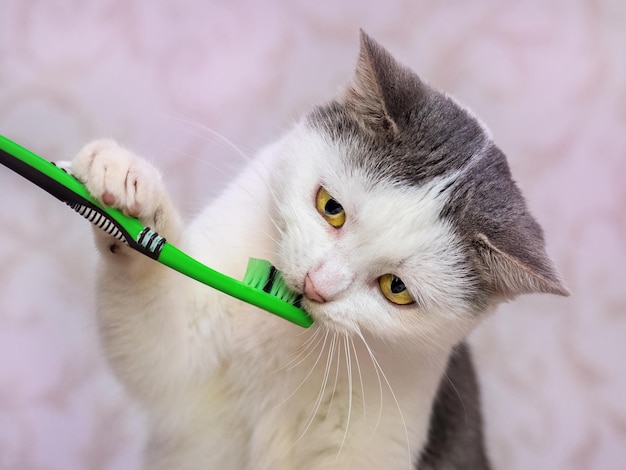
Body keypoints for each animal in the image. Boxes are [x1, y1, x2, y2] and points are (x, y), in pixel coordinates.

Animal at [70, 31, 568, 468]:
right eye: (331, 208)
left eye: (396, 288)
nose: (316, 284)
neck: (286, 340)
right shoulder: (187, 376)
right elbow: (156, 344)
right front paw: (127, 189)